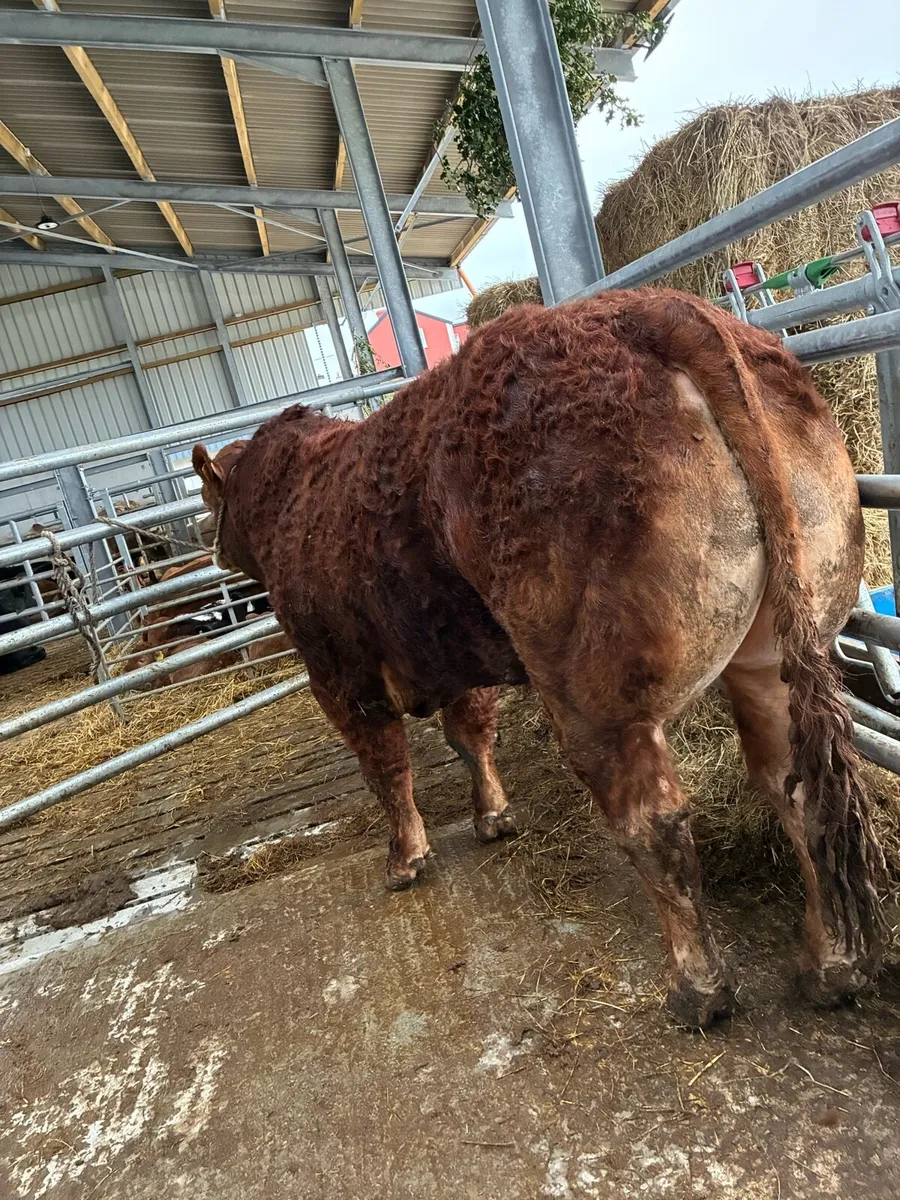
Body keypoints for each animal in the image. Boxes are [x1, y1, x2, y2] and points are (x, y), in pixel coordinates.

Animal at [192, 289, 885, 1029]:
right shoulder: (455, 650)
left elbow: (388, 769)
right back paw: (831, 967)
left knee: (654, 820)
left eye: (208, 496)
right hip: (777, 648)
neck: (294, 499)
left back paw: (698, 989)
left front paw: (405, 859)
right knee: (796, 785)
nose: (210, 542)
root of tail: (652, 309)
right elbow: (470, 733)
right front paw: (493, 816)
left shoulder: (339, 674)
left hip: (594, 693)